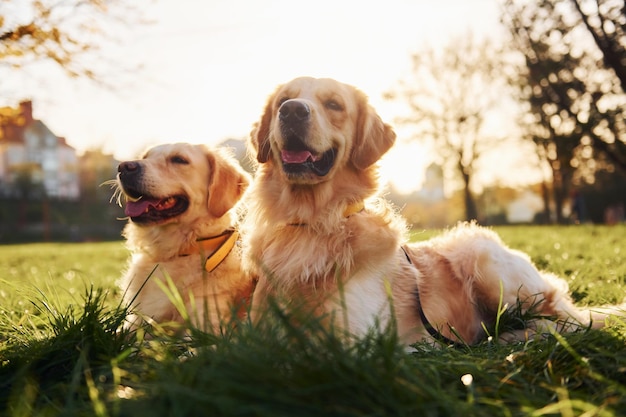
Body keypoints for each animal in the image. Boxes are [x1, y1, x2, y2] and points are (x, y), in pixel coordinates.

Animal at [241, 77, 620, 344]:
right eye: (283, 100)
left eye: (334, 104)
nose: (292, 110)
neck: (312, 222)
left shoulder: (359, 343)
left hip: (489, 265)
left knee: (567, 320)